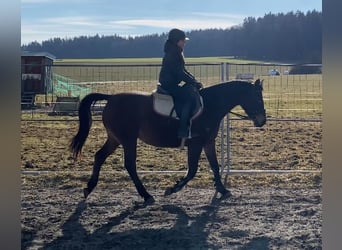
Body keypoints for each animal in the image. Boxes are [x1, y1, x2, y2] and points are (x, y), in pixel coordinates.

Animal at [70, 79, 268, 204]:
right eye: (257, 98)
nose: (262, 121)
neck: (211, 105)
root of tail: (111, 98)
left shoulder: (208, 142)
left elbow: (215, 166)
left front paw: (223, 190)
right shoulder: (195, 144)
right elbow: (192, 170)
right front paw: (173, 188)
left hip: (115, 138)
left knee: (99, 156)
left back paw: (89, 188)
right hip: (128, 139)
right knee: (130, 164)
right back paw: (146, 195)